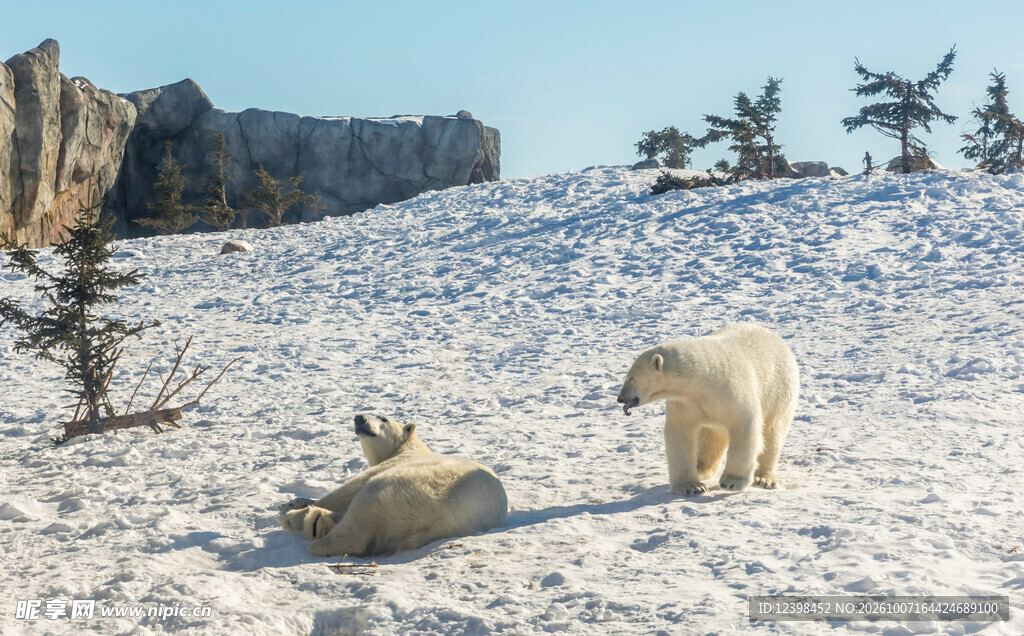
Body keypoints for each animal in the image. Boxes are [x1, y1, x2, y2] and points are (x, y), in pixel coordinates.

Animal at [279, 414, 508, 557]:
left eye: (384, 418)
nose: (360, 418)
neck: (409, 447)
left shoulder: (395, 464)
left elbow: (347, 490)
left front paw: (290, 509)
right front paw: (295, 502)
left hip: (405, 488)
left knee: (359, 517)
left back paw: (311, 526)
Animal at [616, 323, 799, 495]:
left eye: (631, 377)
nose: (620, 398)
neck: (703, 378)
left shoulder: (732, 391)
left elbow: (745, 425)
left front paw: (731, 482)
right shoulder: (685, 402)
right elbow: (680, 432)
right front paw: (690, 487)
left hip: (779, 392)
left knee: (772, 433)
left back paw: (764, 478)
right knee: (711, 438)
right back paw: (701, 469)